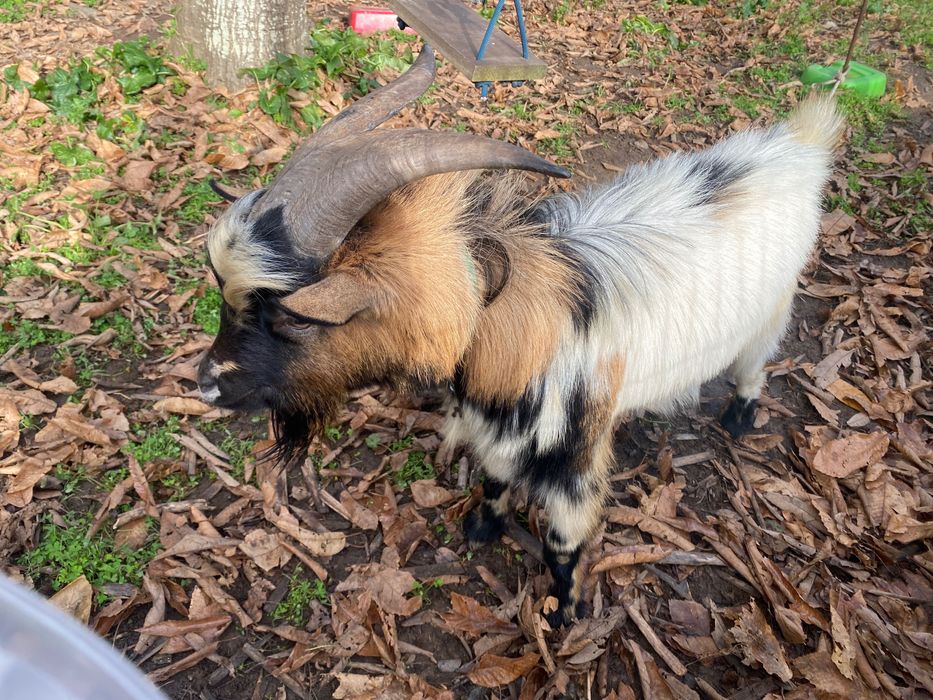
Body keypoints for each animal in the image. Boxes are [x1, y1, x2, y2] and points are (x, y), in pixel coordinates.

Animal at [197, 45, 843, 626]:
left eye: (294, 318)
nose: (206, 384)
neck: (508, 323)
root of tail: (800, 146)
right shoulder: (497, 429)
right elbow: (492, 479)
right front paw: (482, 528)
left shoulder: (575, 457)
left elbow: (564, 540)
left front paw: (567, 611)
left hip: (772, 311)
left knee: (756, 362)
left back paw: (739, 416)